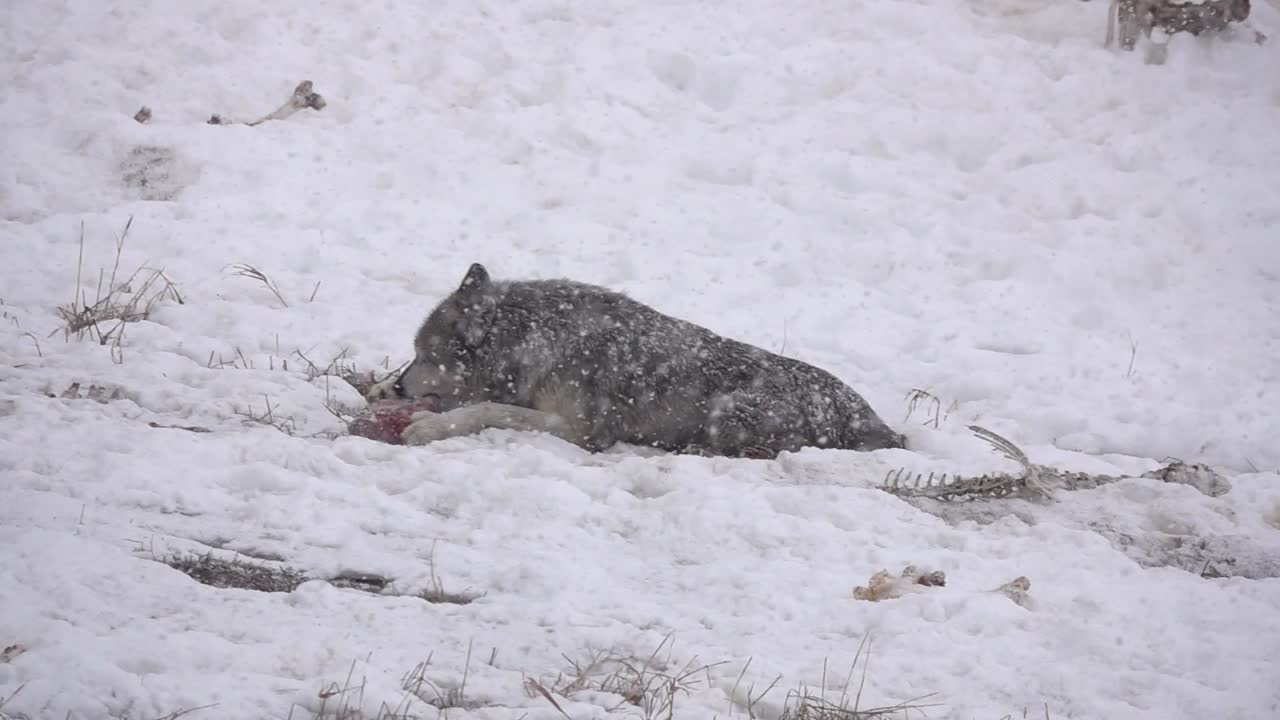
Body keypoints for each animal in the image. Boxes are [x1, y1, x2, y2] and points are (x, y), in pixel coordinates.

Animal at [367, 263, 905, 458]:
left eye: (423, 355)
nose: (402, 389)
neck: (542, 343)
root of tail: (873, 420)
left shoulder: (580, 432)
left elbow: (485, 410)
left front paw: (425, 427)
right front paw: (377, 389)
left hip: (727, 411)